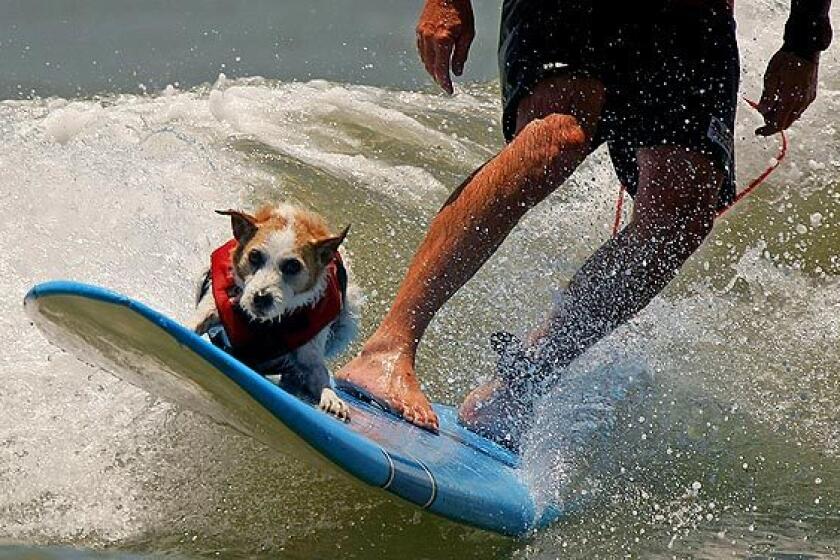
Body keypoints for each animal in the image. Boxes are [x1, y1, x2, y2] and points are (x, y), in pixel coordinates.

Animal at [194, 202, 360, 420]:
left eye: (293, 266)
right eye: (254, 256)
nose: (261, 297)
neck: (263, 324)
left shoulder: (311, 354)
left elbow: (320, 373)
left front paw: (331, 398)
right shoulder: (215, 304)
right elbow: (197, 320)